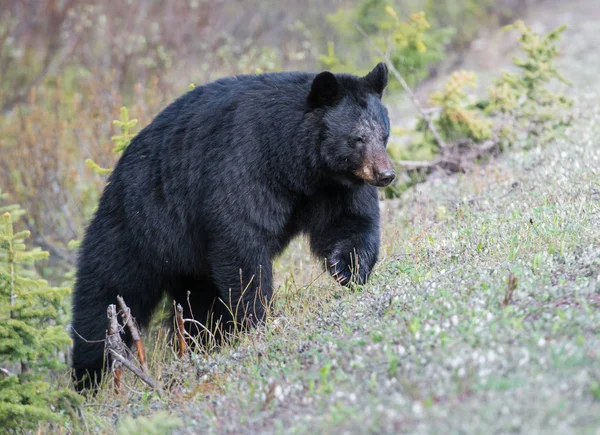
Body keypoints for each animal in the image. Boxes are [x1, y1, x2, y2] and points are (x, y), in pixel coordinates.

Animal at [70, 62, 396, 392]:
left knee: (198, 303)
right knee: (104, 296)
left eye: (383, 134)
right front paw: (259, 316)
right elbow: (241, 240)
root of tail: (114, 177)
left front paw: (349, 268)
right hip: (136, 230)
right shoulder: (243, 163)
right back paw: (91, 377)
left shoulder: (330, 187)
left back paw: (206, 341)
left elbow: (348, 220)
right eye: (357, 138)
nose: (386, 174)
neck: (296, 161)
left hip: (187, 264)